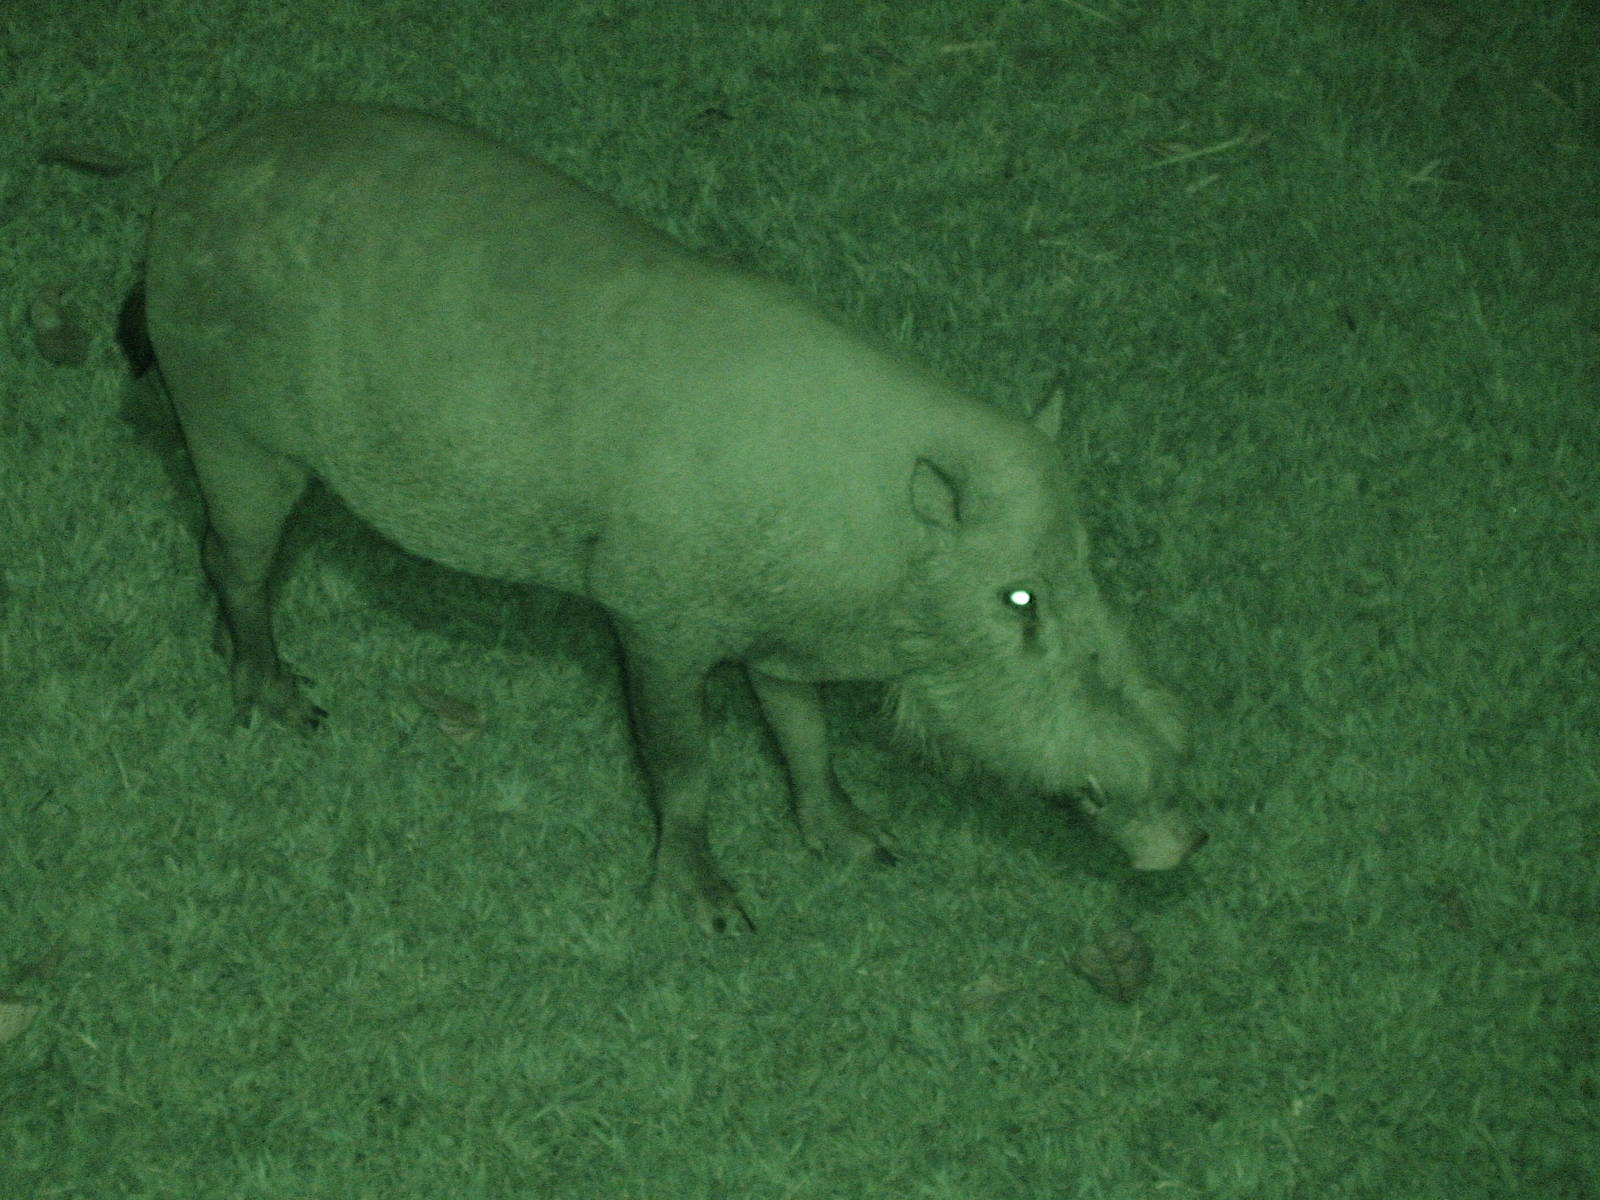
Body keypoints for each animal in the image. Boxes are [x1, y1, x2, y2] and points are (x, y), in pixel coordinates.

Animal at [140, 104, 1205, 935]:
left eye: (1087, 563)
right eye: (1017, 598)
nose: (1184, 838)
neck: (874, 555)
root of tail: (176, 194)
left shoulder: (784, 644)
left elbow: (804, 736)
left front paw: (865, 847)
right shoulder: (652, 616)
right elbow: (685, 767)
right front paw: (713, 915)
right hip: (235, 432)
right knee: (235, 560)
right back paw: (287, 706)